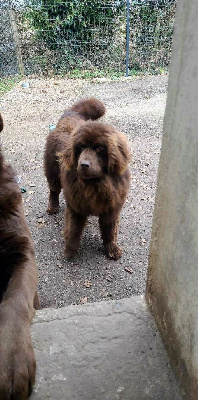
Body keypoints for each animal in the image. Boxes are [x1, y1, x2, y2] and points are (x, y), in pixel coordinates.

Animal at [44, 99, 131, 260]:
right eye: (81, 147)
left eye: (99, 149)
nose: (83, 164)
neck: (94, 184)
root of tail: (69, 115)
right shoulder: (75, 207)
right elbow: (73, 230)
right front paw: (70, 250)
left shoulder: (112, 208)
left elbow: (110, 231)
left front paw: (112, 249)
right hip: (52, 170)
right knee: (53, 190)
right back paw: (53, 207)